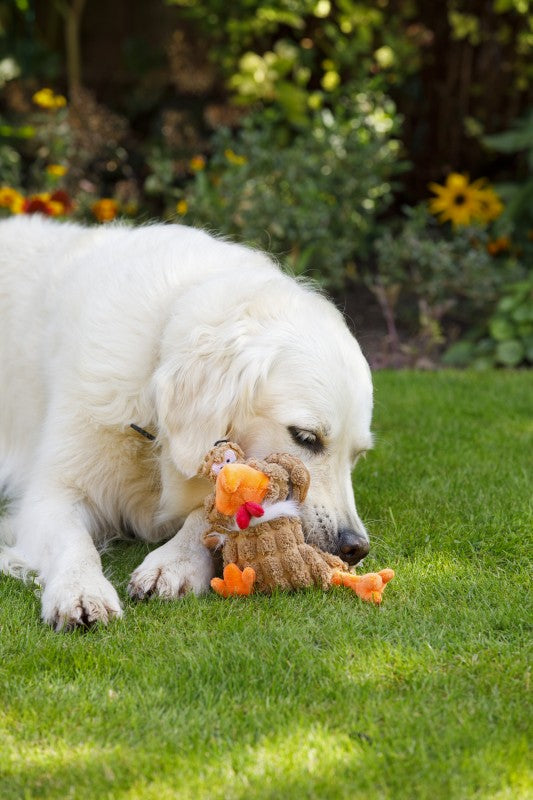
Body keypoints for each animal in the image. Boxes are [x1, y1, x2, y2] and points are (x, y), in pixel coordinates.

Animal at [0, 216, 372, 628]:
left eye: (357, 456)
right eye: (306, 437)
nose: (356, 547)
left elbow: (210, 514)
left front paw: (174, 562)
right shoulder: (52, 491)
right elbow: (72, 541)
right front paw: (80, 588)